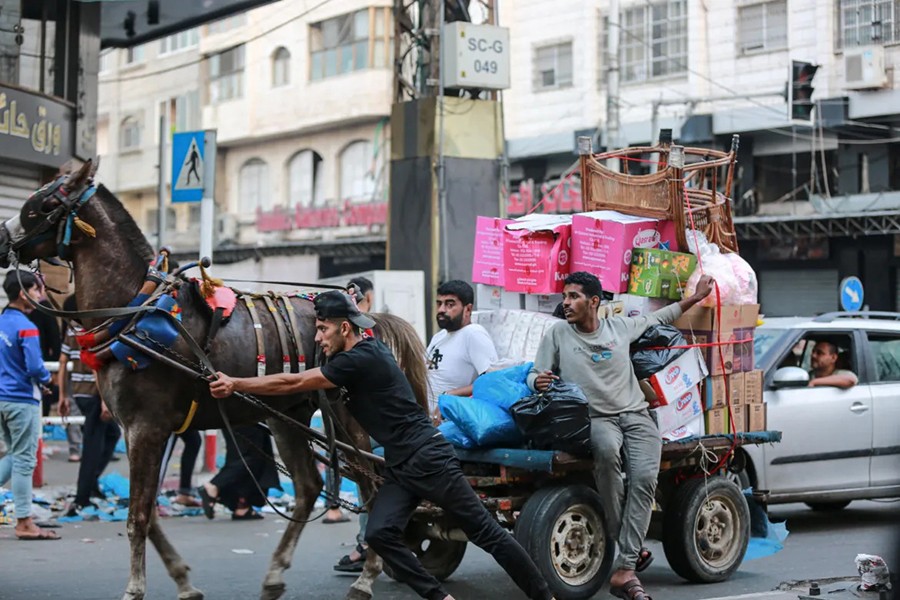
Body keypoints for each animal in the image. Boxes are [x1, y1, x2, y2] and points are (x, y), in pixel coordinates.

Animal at [0, 159, 426, 600]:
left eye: (45, 203)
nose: (2, 238)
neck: (134, 309)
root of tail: (366, 320)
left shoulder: (145, 428)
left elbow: (138, 516)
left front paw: (135, 588)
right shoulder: (141, 431)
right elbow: (148, 512)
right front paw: (184, 581)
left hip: (346, 416)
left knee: (372, 483)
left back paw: (367, 574)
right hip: (287, 416)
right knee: (309, 487)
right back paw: (276, 574)